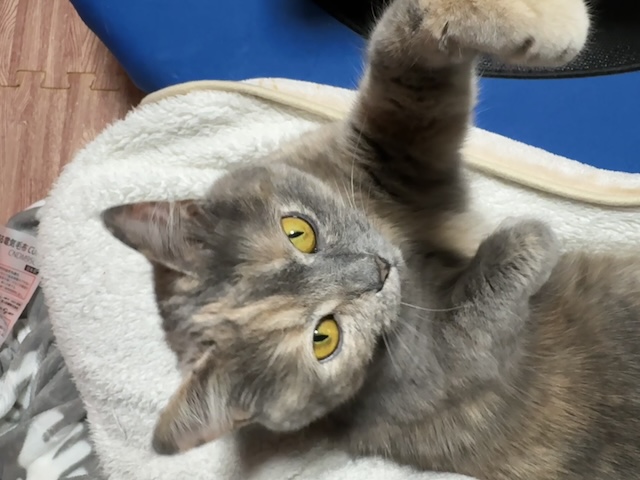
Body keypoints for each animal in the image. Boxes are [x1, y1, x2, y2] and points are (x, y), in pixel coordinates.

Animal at [101, 0, 640, 478]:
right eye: (324, 338)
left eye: (298, 231)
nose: (377, 271)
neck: (407, 243)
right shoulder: (450, 362)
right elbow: (476, 313)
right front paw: (528, 237)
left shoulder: (392, 141)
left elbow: (410, 43)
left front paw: (547, 21)